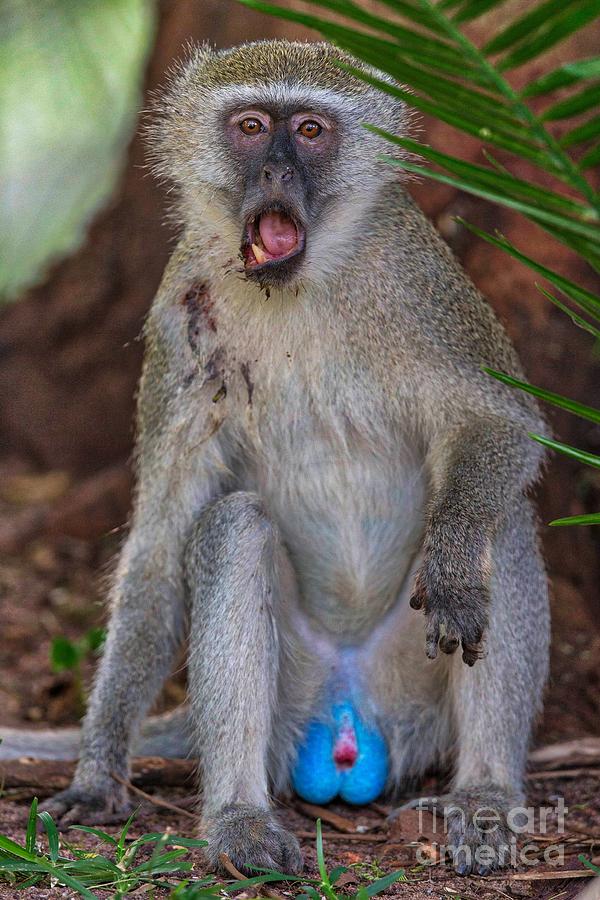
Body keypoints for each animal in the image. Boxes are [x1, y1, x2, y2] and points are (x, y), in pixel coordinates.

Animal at [0, 40, 550, 878]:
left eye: (312, 131)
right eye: (254, 127)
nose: (277, 176)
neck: (295, 291)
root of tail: (353, 698)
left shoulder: (421, 281)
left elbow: (504, 423)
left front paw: (456, 557)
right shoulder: (178, 316)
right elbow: (163, 538)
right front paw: (99, 768)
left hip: (415, 694)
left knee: (505, 518)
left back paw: (485, 795)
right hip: (298, 691)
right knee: (232, 528)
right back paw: (239, 818)